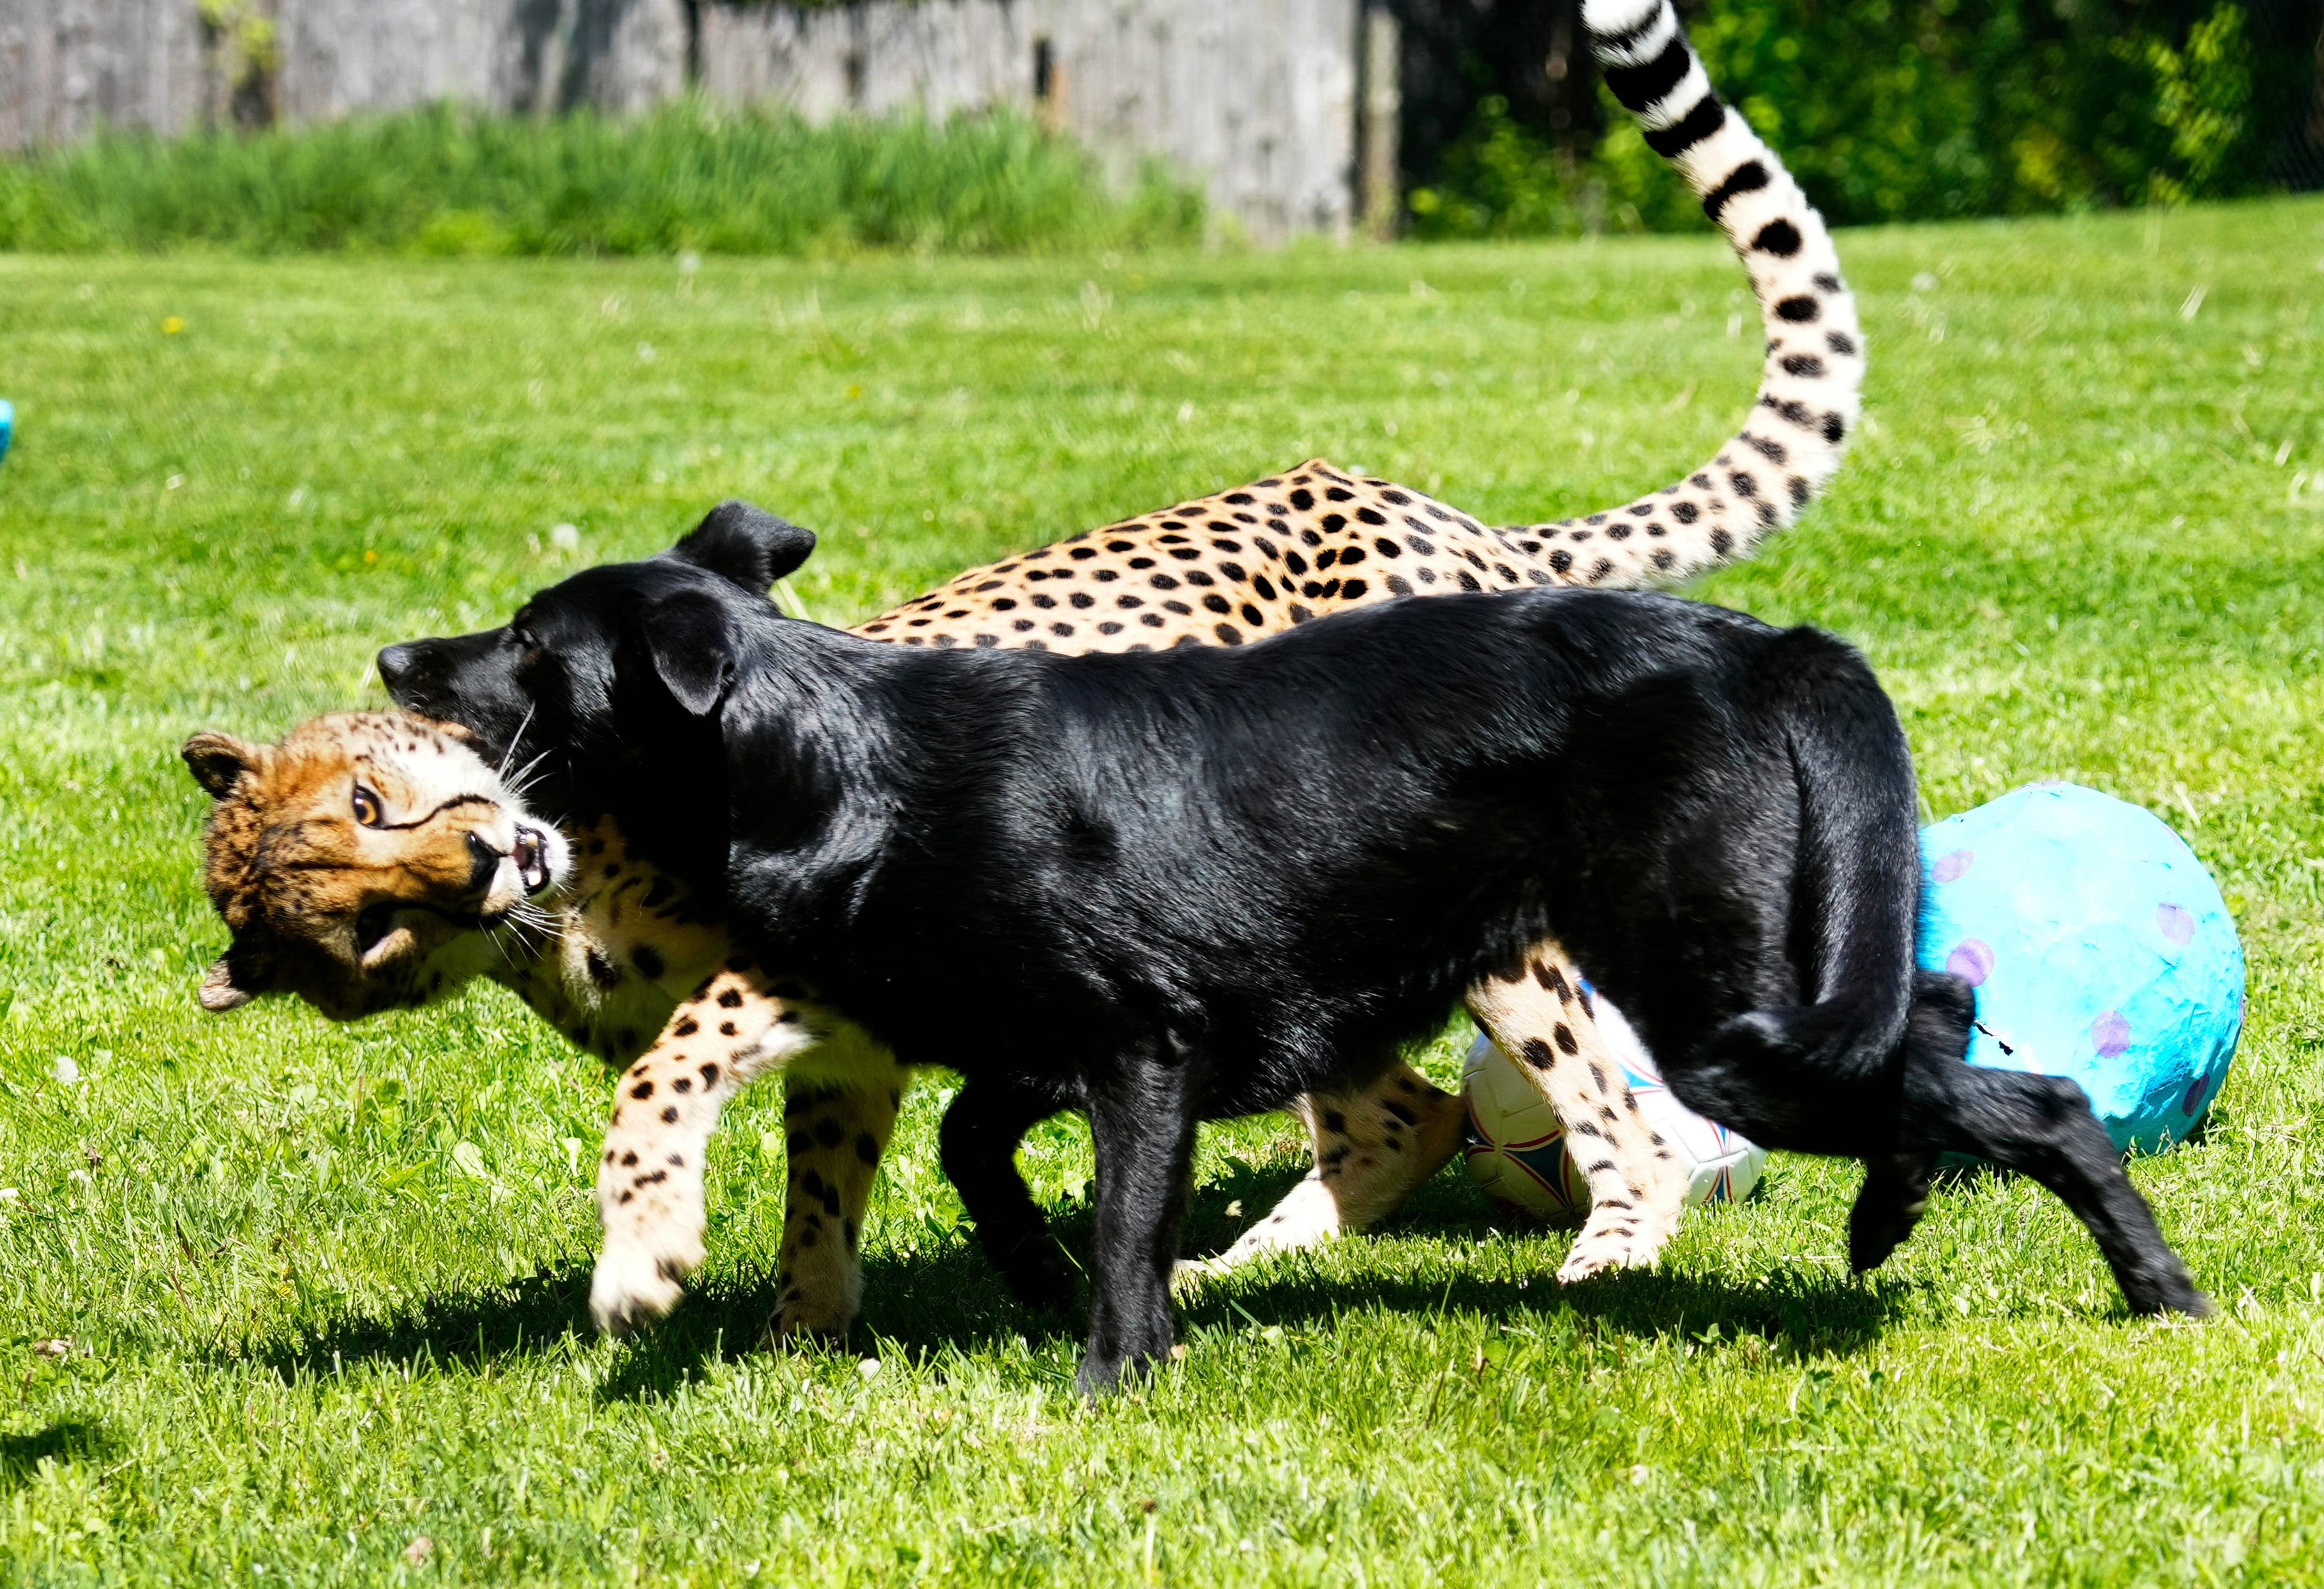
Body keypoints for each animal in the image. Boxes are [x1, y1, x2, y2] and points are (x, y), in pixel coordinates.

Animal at [386, 502, 2212, 1384]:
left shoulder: (1141, 1051)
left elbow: (1125, 1234)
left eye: (534, 645)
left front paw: (1109, 1379)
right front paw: (1032, 1279)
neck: (838, 757)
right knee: (1953, 1009)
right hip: (1754, 993)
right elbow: (980, 1150)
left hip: (1722, 1022)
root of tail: (1763, 642)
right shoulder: (1041, 1043)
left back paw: (2156, 1290)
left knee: (2034, 1091)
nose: (399, 654)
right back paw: (1926, 1227)